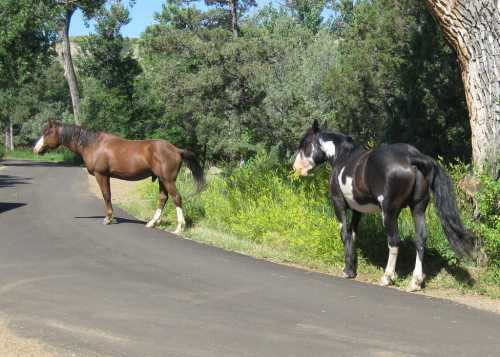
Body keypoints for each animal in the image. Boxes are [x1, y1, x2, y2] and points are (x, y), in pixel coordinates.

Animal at [34, 119, 204, 234]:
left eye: (48, 133)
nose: (36, 149)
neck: (93, 144)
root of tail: (176, 150)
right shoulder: (107, 176)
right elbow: (108, 194)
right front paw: (111, 217)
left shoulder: (101, 175)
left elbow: (106, 195)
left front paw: (108, 219)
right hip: (162, 180)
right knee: (163, 198)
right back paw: (152, 223)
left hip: (168, 180)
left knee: (177, 198)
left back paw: (179, 227)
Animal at [292, 119, 476, 290]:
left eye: (305, 143)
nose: (295, 168)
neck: (343, 157)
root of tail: (412, 157)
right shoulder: (358, 210)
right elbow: (353, 234)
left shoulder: (339, 204)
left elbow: (345, 234)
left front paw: (348, 270)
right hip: (418, 208)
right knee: (420, 239)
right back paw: (415, 282)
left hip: (388, 212)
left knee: (394, 241)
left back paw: (387, 277)